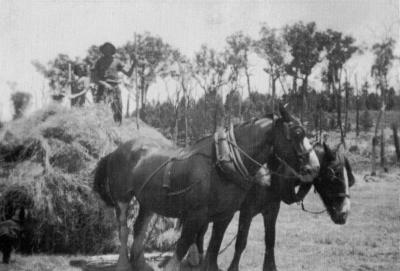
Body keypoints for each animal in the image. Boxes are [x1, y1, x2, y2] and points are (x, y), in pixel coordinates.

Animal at [93, 104, 318, 271]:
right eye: (298, 133)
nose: (314, 167)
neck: (222, 162)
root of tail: (116, 151)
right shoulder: (196, 215)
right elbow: (182, 246)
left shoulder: (225, 216)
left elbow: (213, 250)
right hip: (122, 200)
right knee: (123, 229)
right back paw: (123, 264)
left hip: (148, 202)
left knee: (140, 228)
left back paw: (140, 264)